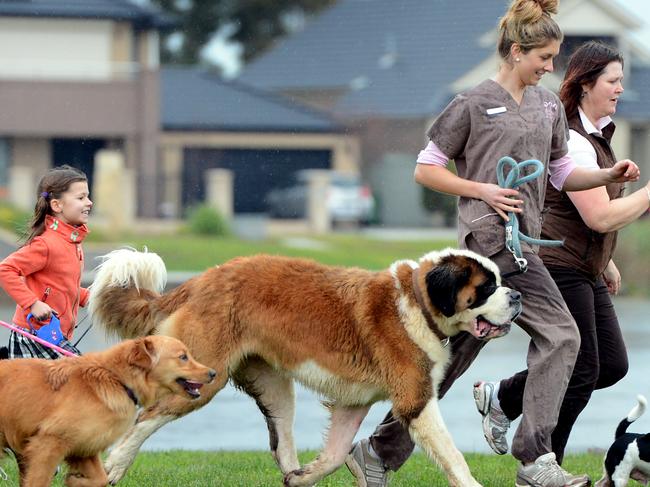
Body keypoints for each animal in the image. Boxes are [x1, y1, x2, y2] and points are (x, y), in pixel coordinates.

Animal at [0, 336, 215, 487]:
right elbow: (38, 480)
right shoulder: (47, 443)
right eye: (183, 357)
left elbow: (100, 478)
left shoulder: (84, 446)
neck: (117, 379)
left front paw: (74, 480)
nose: (213, 373)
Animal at [88, 250, 520, 486]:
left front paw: (307, 476)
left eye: (500, 282)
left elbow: (335, 453)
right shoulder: (416, 399)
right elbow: (452, 454)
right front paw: (472, 483)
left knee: (282, 441)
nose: (515, 295)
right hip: (202, 377)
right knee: (145, 417)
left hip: (275, 387)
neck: (417, 300)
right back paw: (114, 467)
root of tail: (198, 282)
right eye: (485, 288)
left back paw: (294, 474)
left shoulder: (353, 402)